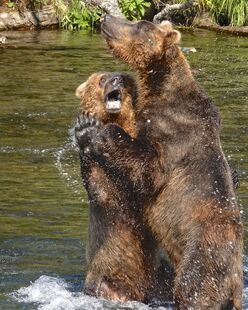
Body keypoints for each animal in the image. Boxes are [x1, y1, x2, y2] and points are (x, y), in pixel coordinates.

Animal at [74, 72, 173, 306]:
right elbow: (101, 190)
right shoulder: (107, 189)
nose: (117, 78)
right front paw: (85, 129)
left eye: (121, 78)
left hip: (160, 275)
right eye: (102, 79)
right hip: (108, 283)